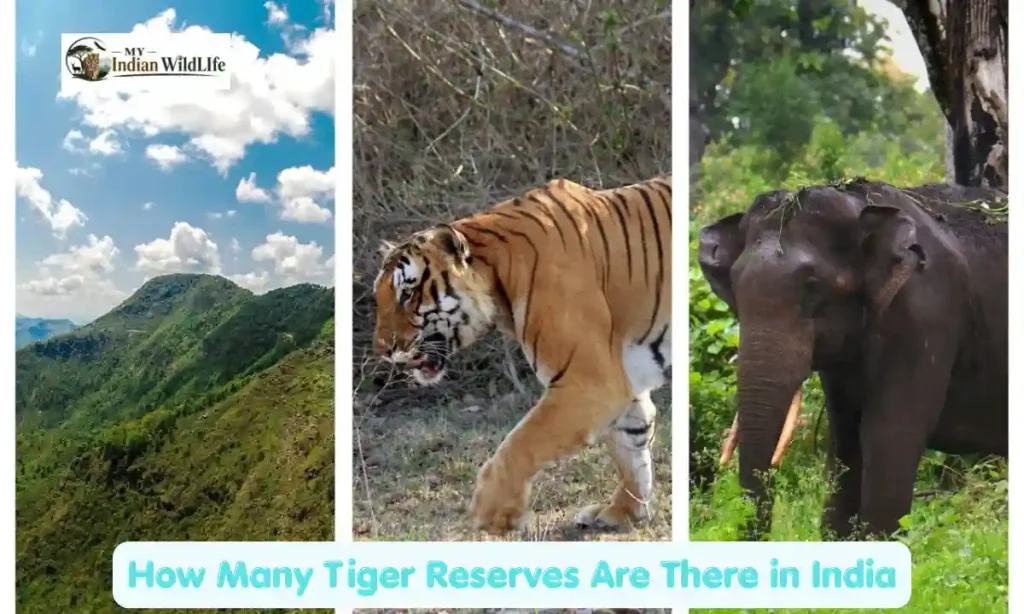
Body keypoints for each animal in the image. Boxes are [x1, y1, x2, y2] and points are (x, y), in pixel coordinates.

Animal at [372, 175, 672, 535]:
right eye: (379, 297)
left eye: (408, 294)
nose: (382, 349)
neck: (497, 273)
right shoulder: (624, 376)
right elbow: (632, 443)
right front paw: (624, 511)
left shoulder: (590, 384)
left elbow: (520, 444)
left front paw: (491, 512)